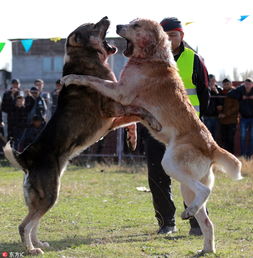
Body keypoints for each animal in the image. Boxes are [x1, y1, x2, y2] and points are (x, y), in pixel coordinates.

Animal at [2, 16, 160, 256]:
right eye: (93, 26)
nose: (107, 17)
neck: (87, 59)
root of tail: (26, 159)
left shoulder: (113, 119)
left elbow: (133, 120)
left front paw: (132, 140)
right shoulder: (112, 108)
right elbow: (140, 110)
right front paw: (155, 121)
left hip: (43, 197)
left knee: (34, 223)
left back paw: (39, 243)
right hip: (50, 194)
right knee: (24, 225)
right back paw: (32, 249)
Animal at [60, 18, 242, 254]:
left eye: (136, 25)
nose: (117, 25)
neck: (150, 57)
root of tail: (212, 146)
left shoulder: (119, 91)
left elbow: (89, 78)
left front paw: (71, 77)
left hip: (171, 165)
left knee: (204, 192)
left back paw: (191, 218)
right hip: (185, 186)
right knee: (206, 220)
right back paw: (204, 246)